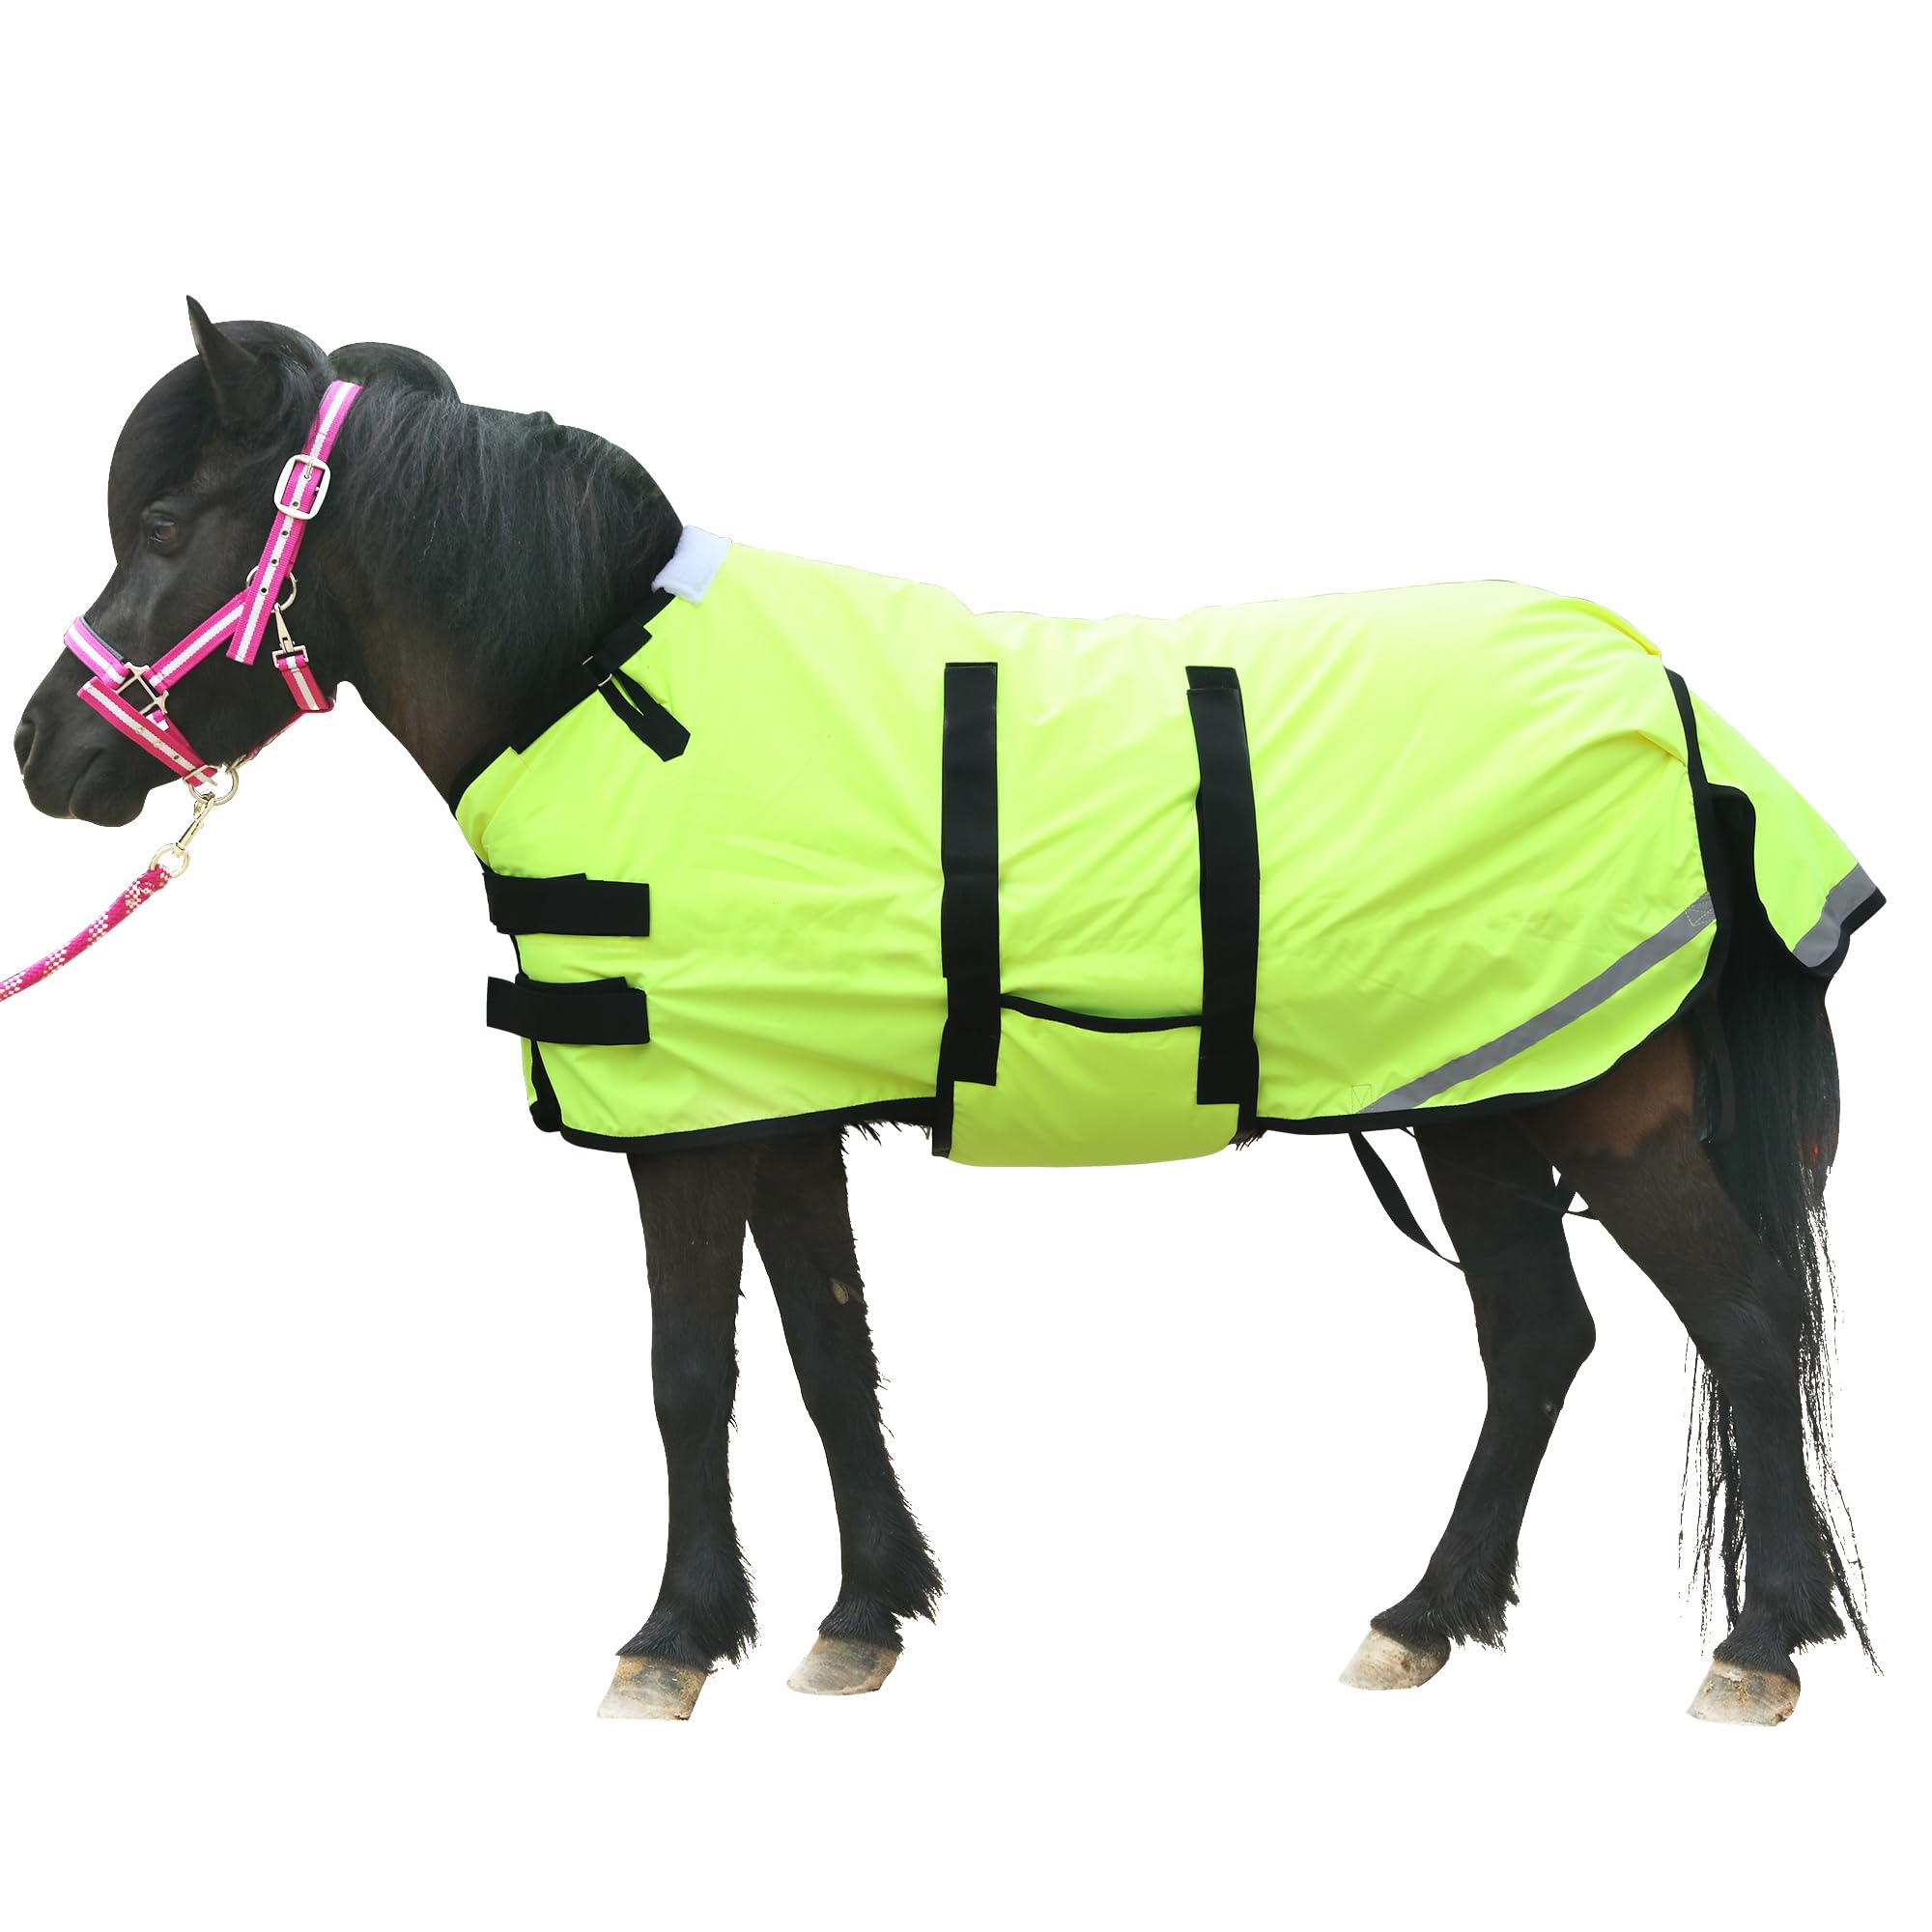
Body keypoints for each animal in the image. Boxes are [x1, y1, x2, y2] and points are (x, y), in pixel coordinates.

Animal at [13, 302, 1879, 1725]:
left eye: (165, 529)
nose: (49, 755)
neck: (605, 683)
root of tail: (1659, 689)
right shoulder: (770, 1111)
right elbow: (832, 1356)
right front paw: (862, 1616)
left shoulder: (687, 1131)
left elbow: (689, 1372)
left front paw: (673, 1639)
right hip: (1478, 1099)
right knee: (1540, 1341)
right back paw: (1423, 1617)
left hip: (1594, 1107)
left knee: (1736, 1325)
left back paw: (1759, 1643)